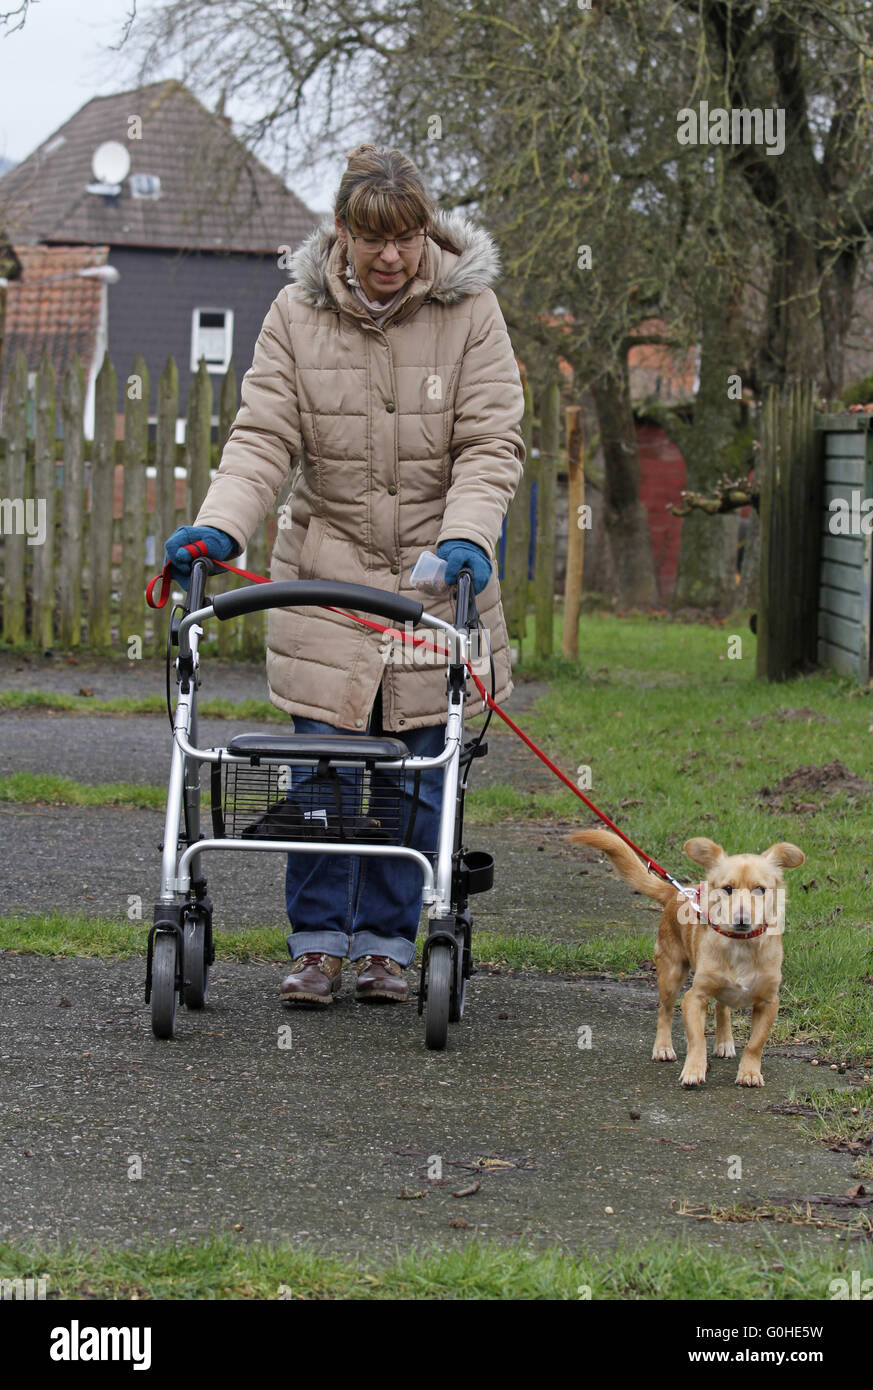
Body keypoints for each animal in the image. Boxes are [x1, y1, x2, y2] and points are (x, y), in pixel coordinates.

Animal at [569, 822, 800, 1084]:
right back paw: (663, 1048)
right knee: (665, 1011)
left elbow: (755, 1044)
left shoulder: (769, 1002)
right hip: (671, 975)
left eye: (760, 889)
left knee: (722, 1008)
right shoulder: (693, 997)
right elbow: (696, 1038)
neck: (740, 945)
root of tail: (678, 893)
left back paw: (724, 1042)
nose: (741, 919)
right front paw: (694, 1069)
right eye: (727, 889)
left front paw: (749, 1072)